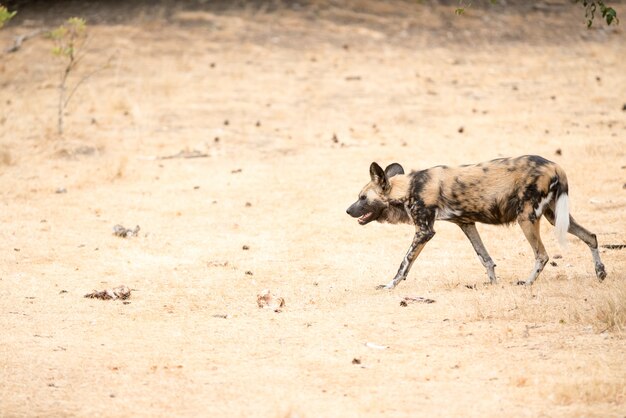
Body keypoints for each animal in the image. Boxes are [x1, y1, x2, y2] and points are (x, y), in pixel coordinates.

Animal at [346, 155, 604, 290]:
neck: (408, 188)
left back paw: (526, 283)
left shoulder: (425, 231)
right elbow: (485, 258)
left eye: (362, 198)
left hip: (526, 218)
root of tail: (555, 165)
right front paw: (493, 283)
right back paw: (601, 272)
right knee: (591, 236)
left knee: (542, 255)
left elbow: (404, 263)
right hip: (555, 217)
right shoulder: (467, 224)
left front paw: (390, 285)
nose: (348, 210)